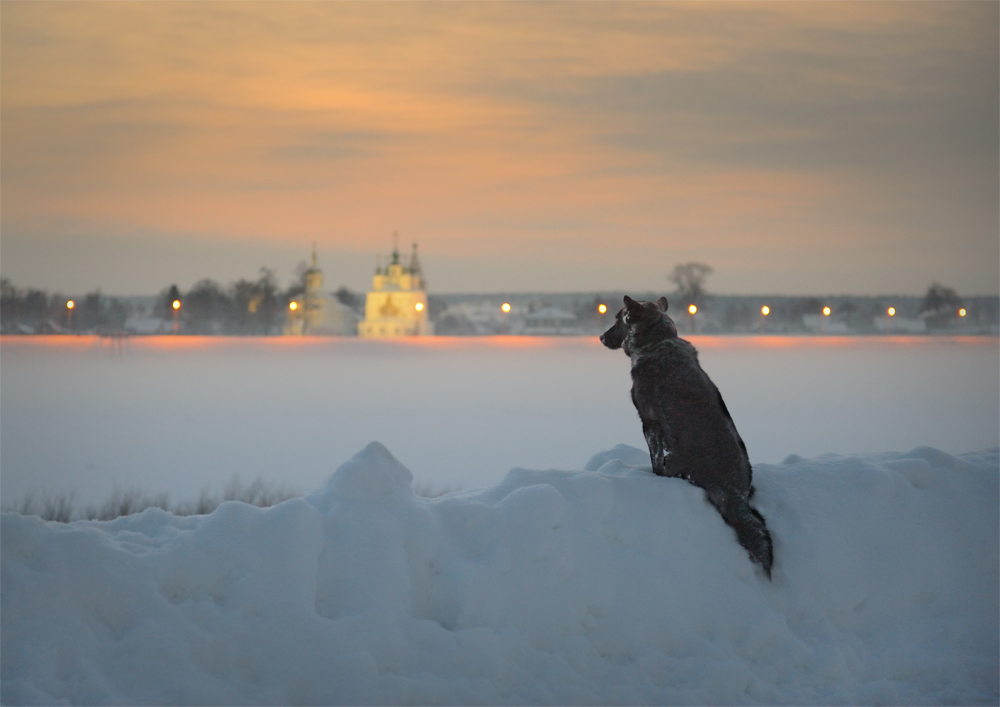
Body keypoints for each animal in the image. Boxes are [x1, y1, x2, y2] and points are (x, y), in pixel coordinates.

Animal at [600, 296, 772, 580]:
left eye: (617, 318)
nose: (601, 337)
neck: (657, 343)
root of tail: (734, 492)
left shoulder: (650, 424)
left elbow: (655, 462)